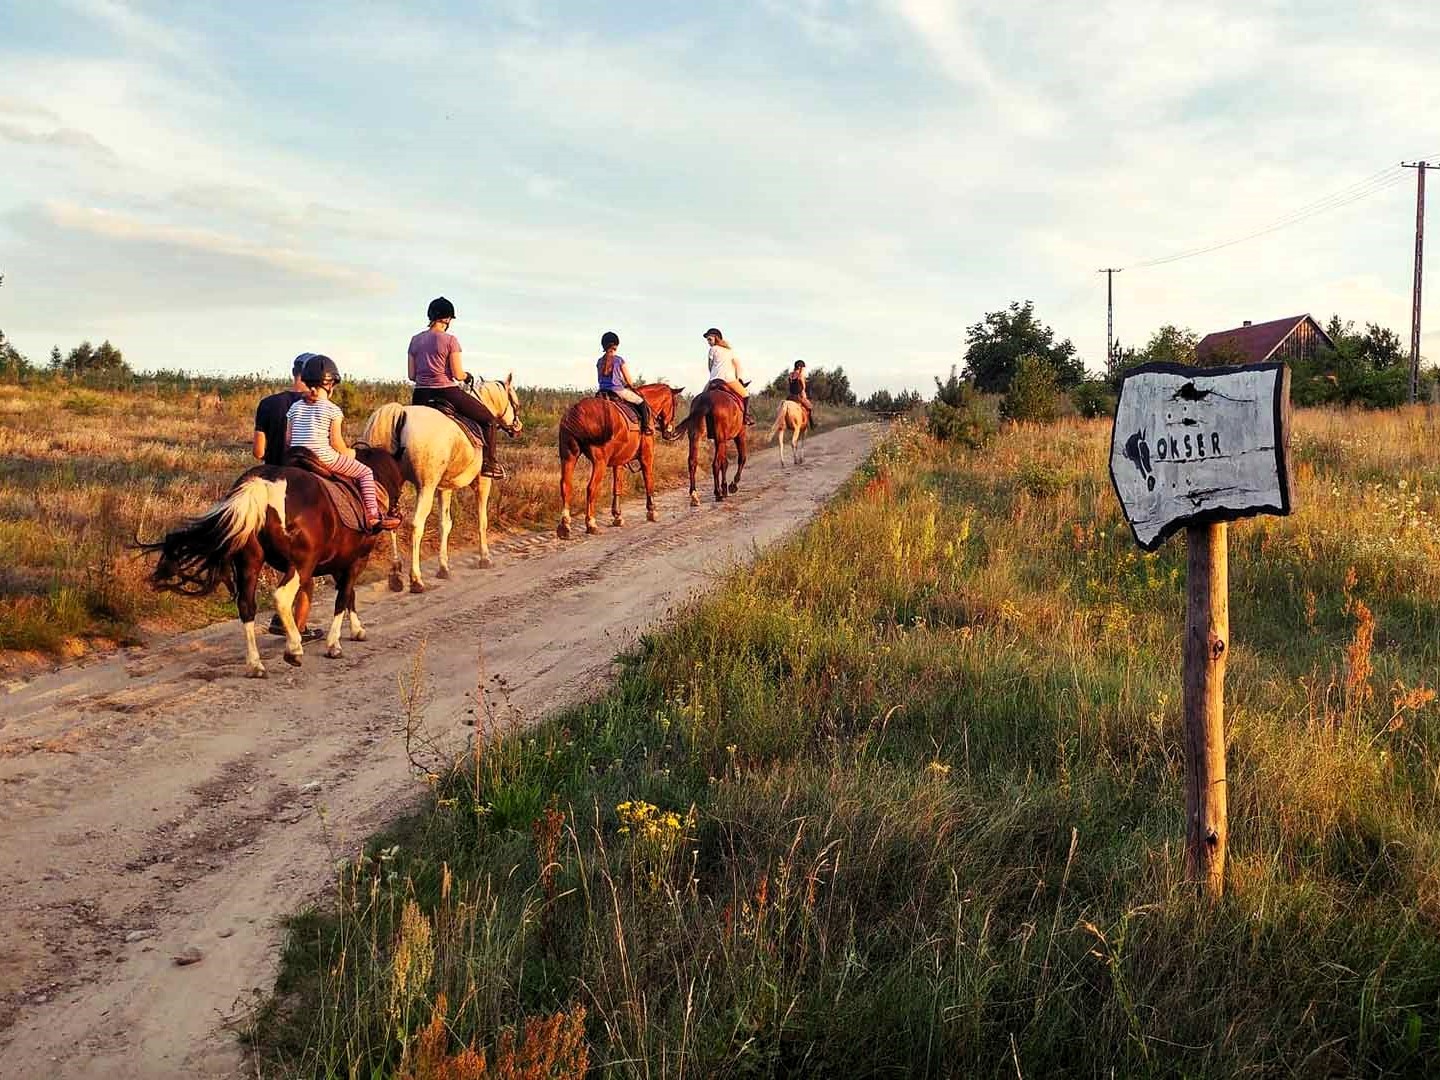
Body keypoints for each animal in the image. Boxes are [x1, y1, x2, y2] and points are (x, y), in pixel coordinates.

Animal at [144, 449, 403, 676]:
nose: (396, 513)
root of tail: (262, 486)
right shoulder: (356, 560)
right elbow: (343, 597)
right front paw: (334, 644)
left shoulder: (340, 564)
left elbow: (349, 596)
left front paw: (357, 630)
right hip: (301, 564)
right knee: (281, 597)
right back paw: (294, 649)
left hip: (250, 561)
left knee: (246, 605)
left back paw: (255, 665)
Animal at [360, 377, 524, 596]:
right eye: (516, 403)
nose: (518, 426)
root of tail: (400, 413)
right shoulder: (482, 482)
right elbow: (482, 520)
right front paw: (485, 558)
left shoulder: (444, 489)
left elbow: (444, 524)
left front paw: (443, 568)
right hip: (426, 487)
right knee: (416, 525)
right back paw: (416, 580)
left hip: (392, 487)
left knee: (392, 522)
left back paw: (396, 576)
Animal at [552, 385, 682, 541]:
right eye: (675, 404)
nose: (669, 431)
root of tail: (579, 410)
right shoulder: (647, 456)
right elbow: (648, 481)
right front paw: (652, 511)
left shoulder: (619, 462)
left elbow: (617, 487)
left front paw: (617, 516)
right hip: (599, 463)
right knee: (591, 488)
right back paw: (591, 524)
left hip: (568, 457)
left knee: (566, 485)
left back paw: (564, 526)